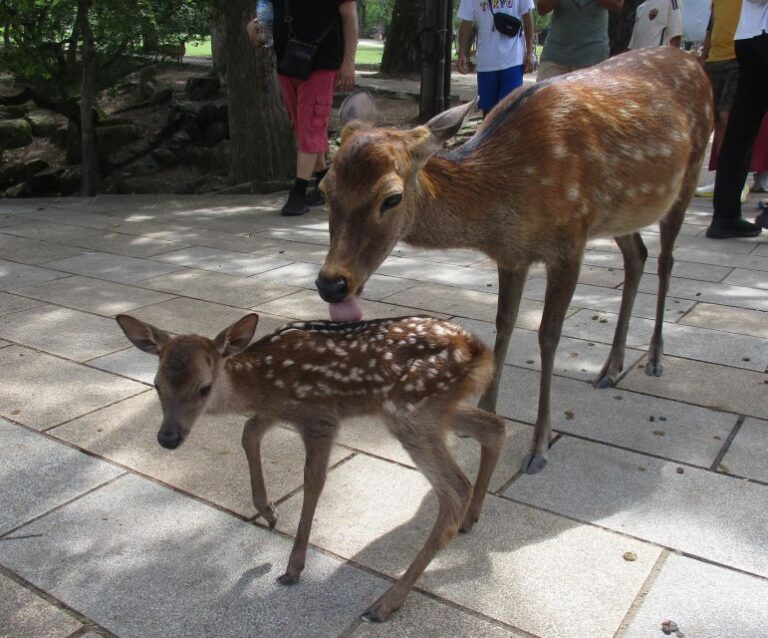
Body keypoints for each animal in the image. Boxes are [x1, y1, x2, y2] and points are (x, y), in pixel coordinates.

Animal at [117, 312, 508, 624]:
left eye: (204, 388)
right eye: (156, 384)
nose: (168, 437)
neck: (262, 382)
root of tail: (480, 352)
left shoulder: (319, 416)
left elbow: (313, 483)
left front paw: (293, 568)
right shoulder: (278, 411)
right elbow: (248, 434)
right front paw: (268, 511)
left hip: (410, 412)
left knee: (455, 487)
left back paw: (384, 603)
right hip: (437, 410)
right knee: (494, 426)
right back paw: (471, 519)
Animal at [314, 48, 712, 476]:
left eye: (391, 197)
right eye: (324, 189)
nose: (331, 283)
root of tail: (693, 60)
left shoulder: (569, 241)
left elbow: (548, 335)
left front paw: (539, 446)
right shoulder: (512, 255)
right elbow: (503, 324)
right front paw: (483, 415)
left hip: (689, 175)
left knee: (666, 261)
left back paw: (654, 359)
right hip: (620, 213)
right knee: (637, 256)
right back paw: (610, 368)